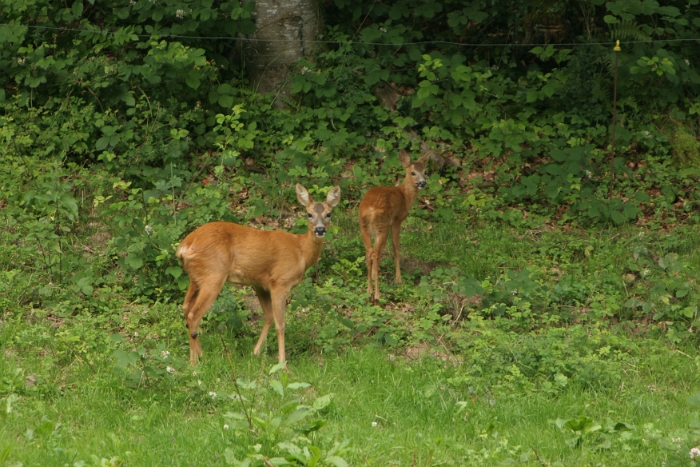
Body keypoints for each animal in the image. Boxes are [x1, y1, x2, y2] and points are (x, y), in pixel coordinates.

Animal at [178, 185, 342, 368]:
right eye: (309, 214)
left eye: (328, 214)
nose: (320, 230)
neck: (300, 252)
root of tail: (185, 247)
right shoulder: (280, 281)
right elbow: (280, 323)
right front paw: (282, 363)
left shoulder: (260, 284)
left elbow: (269, 316)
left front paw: (255, 352)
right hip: (213, 275)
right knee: (194, 314)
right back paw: (194, 363)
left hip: (196, 277)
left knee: (186, 308)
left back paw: (202, 355)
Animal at [360, 152, 426, 302]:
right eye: (413, 172)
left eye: (425, 171)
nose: (422, 183)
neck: (404, 196)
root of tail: (370, 211)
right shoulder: (397, 220)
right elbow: (396, 248)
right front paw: (398, 279)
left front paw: (375, 275)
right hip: (382, 227)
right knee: (375, 254)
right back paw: (377, 294)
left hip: (364, 227)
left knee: (369, 252)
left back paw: (369, 290)